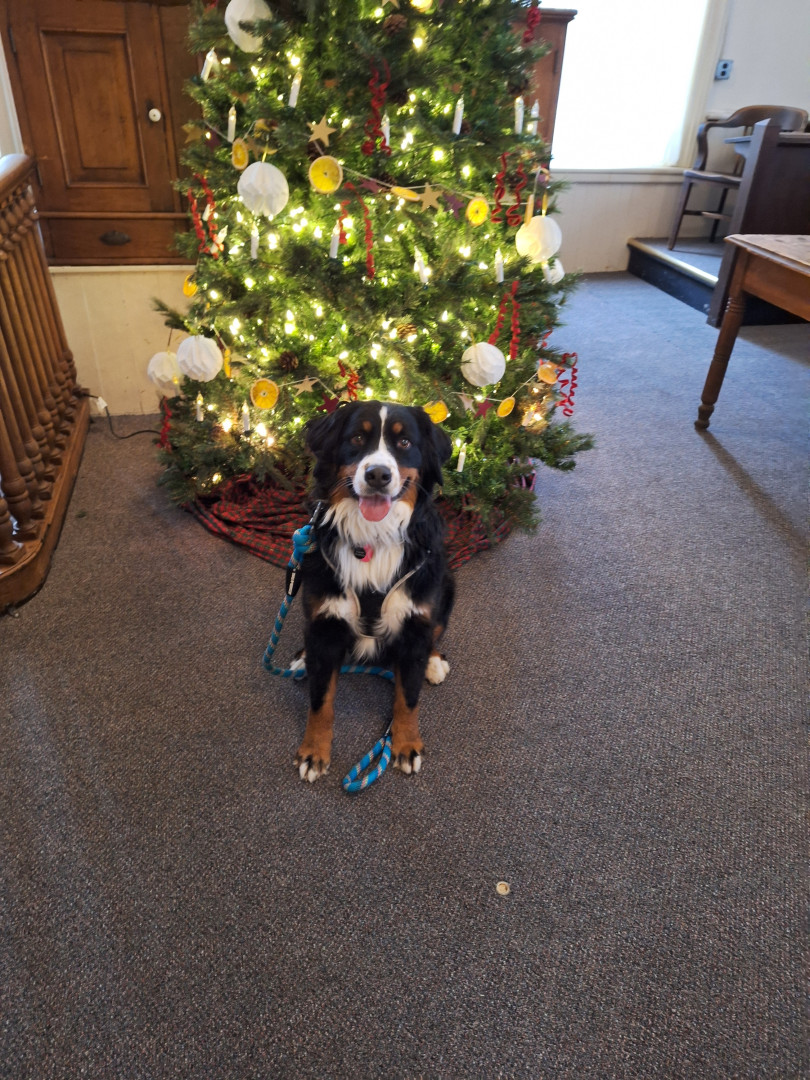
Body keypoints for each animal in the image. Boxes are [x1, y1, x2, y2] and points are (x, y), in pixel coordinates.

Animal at [292, 400, 455, 782]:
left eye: (405, 443)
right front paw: (314, 752)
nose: (378, 475)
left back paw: (434, 662)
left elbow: (407, 698)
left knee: (437, 632)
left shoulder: (414, 623)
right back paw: (302, 658)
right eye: (356, 438)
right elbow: (321, 700)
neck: (373, 540)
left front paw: (407, 745)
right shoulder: (326, 621)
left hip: (446, 586)